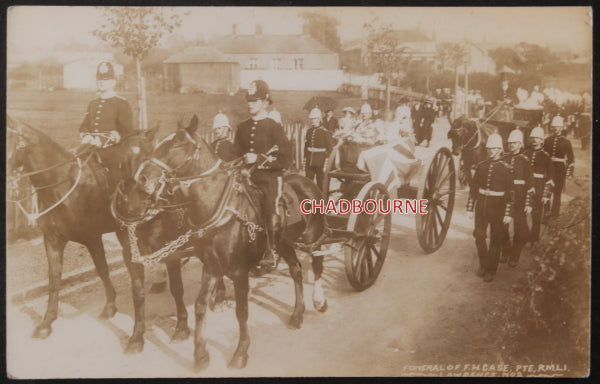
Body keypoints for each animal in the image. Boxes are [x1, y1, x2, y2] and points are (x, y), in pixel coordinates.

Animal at [5, 115, 175, 346]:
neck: (61, 185)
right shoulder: (52, 239)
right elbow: (55, 279)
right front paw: (46, 322)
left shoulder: (92, 237)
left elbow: (103, 269)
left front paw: (112, 307)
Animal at [112, 115, 328, 370]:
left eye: (176, 145)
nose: (143, 179)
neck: (216, 206)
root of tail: (307, 182)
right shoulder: (211, 265)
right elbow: (199, 305)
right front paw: (200, 354)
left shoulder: (239, 270)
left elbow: (241, 312)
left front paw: (240, 352)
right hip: (285, 244)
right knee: (296, 270)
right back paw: (297, 315)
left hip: (313, 238)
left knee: (317, 265)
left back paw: (319, 300)